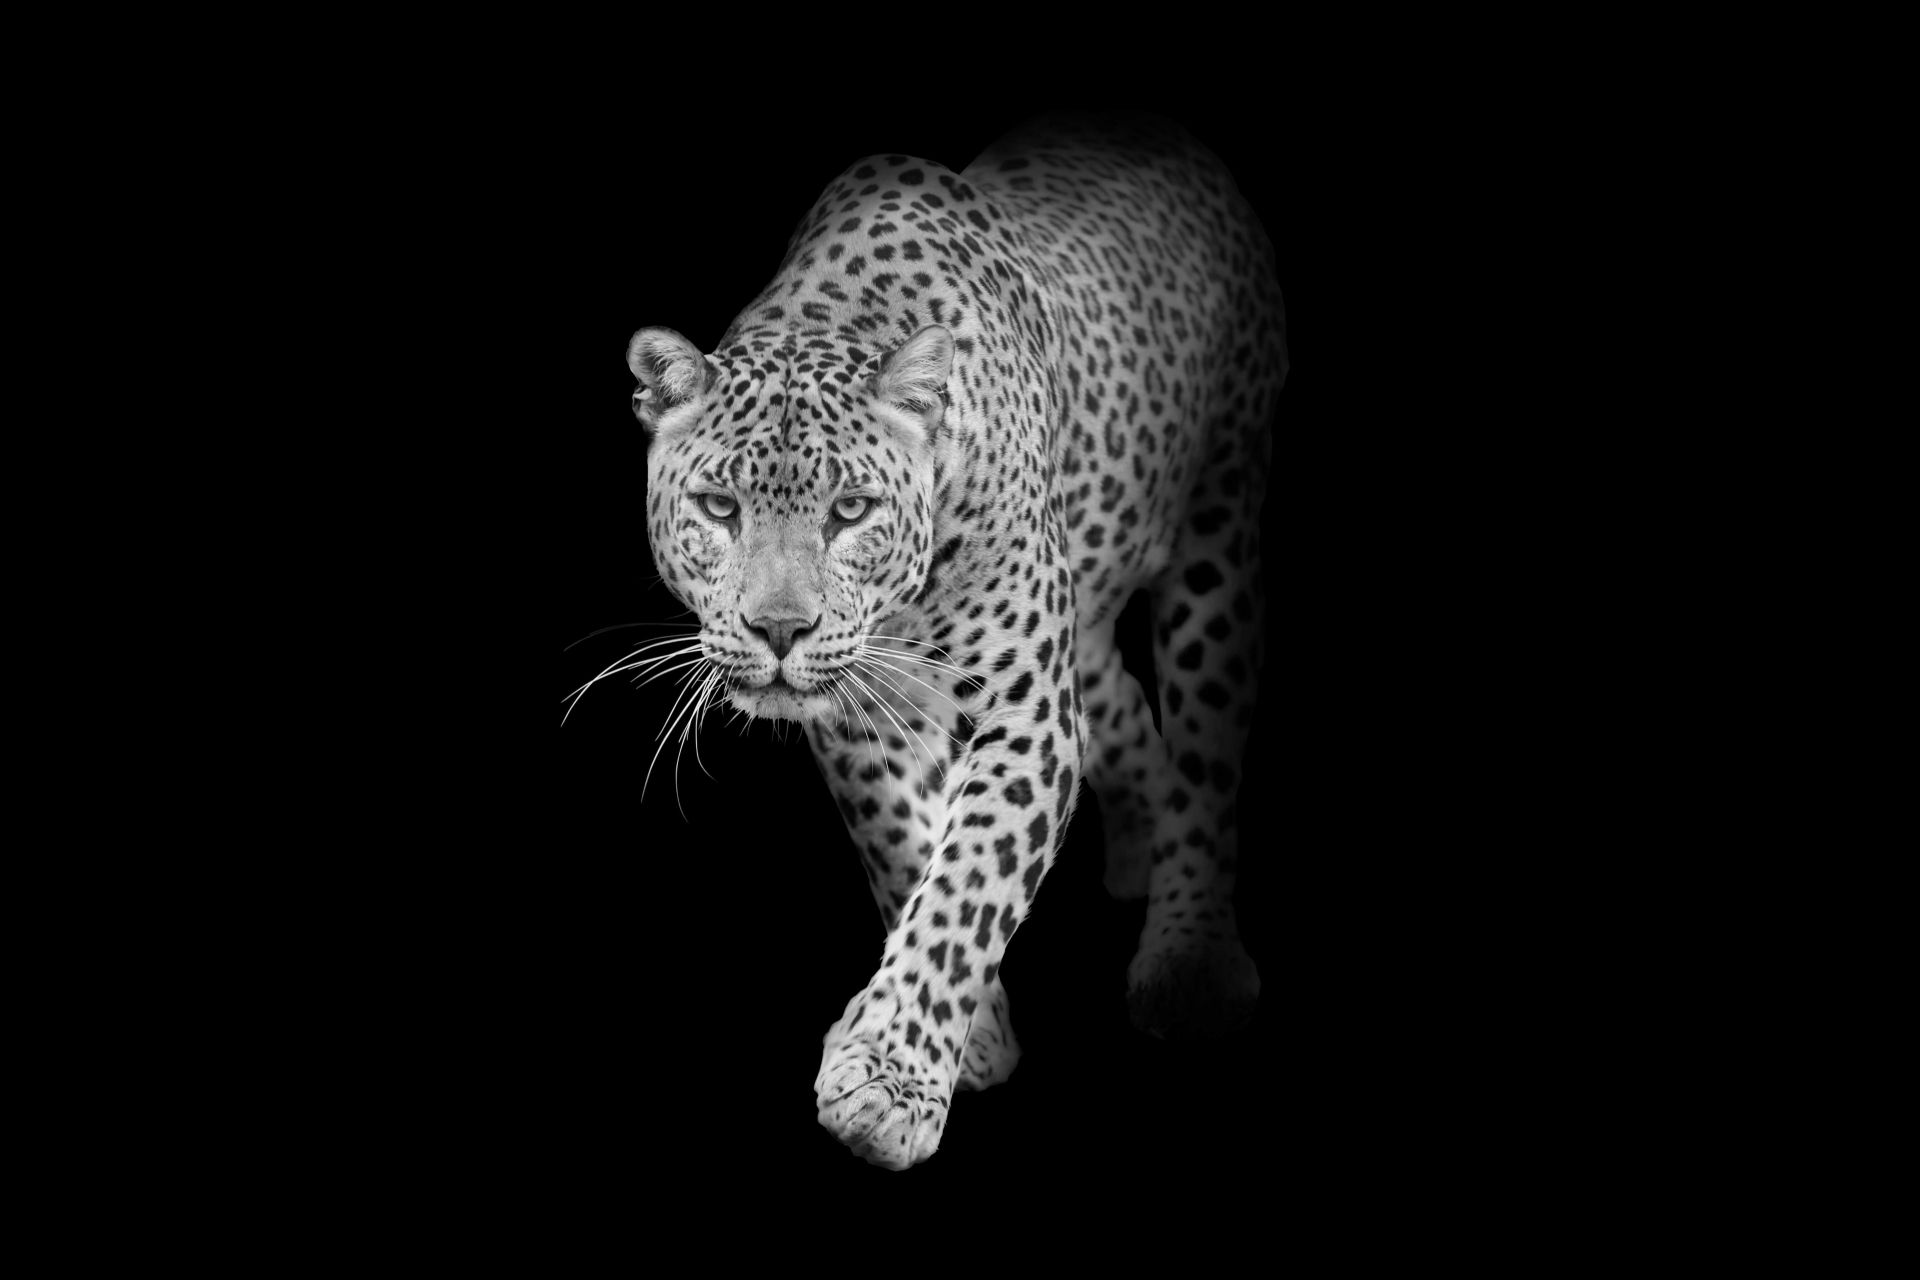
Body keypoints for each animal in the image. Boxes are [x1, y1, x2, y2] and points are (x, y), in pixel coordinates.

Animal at [622, 113, 1286, 1170]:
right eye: (719, 508)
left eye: (852, 510)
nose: (779, 630)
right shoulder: (864, 719)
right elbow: (908, 853)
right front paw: (961, 1040)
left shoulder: (1026, 715)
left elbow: (968, 879)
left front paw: (889, 1082)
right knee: (1119, 705)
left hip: (1219, 520)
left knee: (1206, 745)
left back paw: (1191, 956)